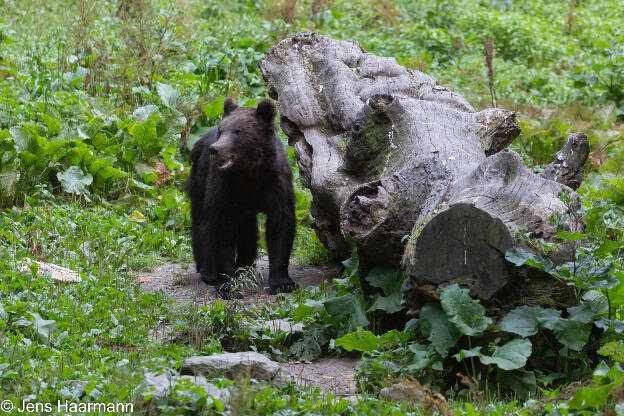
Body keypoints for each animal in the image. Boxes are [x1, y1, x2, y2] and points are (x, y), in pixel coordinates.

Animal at [185, 97, 298, 296]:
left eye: (238, 131)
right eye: (222, 130)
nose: (215, 149)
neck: (247, 173)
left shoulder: (275, 184)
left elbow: (280, 224)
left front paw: (282, 283)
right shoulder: (224, 187)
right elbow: (221, 229)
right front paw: (228, 284)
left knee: (247, 228)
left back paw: (246, 267)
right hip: (200, 179)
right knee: (202, 220)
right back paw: (208, 270)